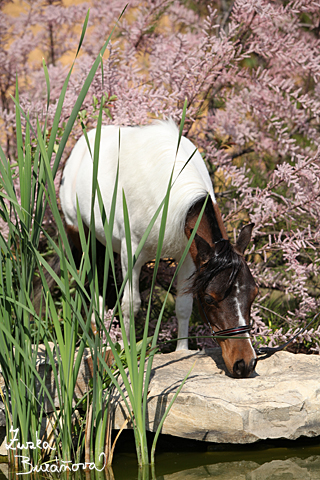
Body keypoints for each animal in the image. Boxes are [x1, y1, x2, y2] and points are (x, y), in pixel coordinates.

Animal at [60, 118, 258, 376]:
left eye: (254, 293)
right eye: (209, 299)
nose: (245, 363)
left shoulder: (190, 257)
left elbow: (183, 305)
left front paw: (182, 351)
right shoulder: (131, 253)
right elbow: (130, 304)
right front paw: (127, 353)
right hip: (80, 234)